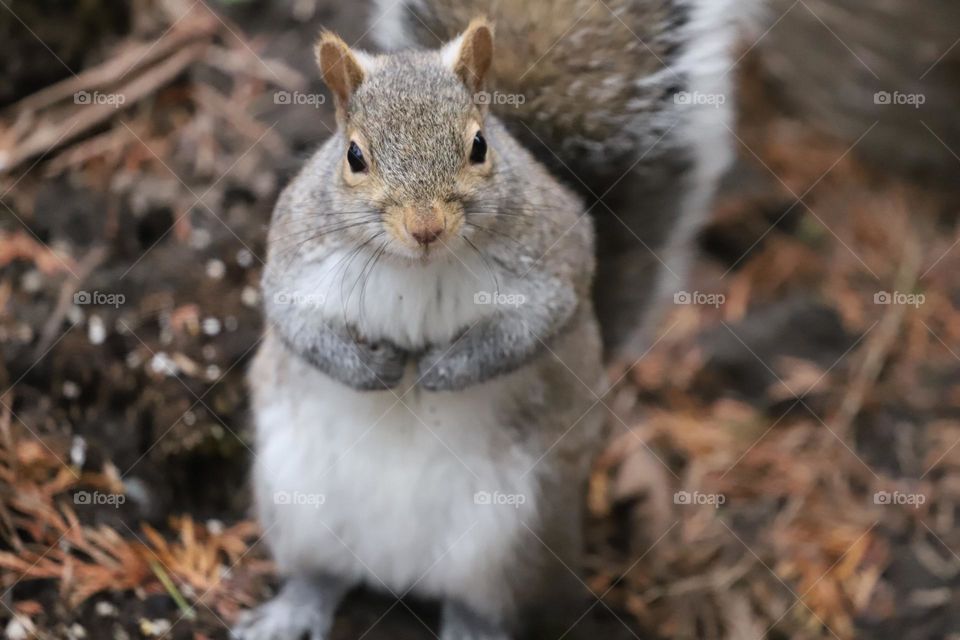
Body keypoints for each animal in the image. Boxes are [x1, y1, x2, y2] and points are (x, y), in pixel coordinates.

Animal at [234, 1, 744, 640]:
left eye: (478, 145)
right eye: (354, 156)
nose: (425, 227)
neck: (418, 267)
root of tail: (399, 576)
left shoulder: (555, 262)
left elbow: (532, 327)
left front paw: (441, 372)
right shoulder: (294, 257)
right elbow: (293, 322)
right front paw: (371, 369)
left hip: (514, 544)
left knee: (480, 605)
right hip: (293, 505)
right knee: (322, 574)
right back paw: (293, 610)